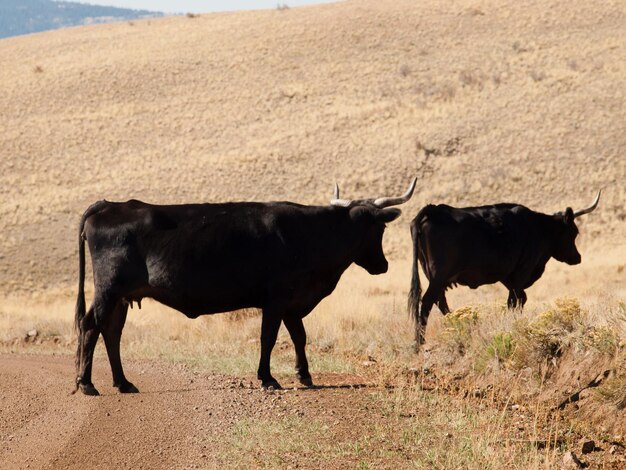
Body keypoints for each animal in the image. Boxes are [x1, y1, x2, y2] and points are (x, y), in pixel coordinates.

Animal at [72, 178, 414, 394]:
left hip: (121, 297)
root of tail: (110, 205)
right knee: (92, 327)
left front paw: (304, 375)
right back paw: (88, 384)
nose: (382, 265)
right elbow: (269, 339)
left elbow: (300, 337)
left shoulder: (292, 304)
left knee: (111, 332)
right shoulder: (276, 300)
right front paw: (268, 378)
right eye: (380, 228)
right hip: (109, 291)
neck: (311, 233)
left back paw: (123, 383)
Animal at [408, 192, 596, 346]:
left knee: (440, 302)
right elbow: (518, 299)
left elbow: (515, 299)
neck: (539, 228)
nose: (577, 258)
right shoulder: (521, 271)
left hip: (433, 276)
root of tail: (432, 210)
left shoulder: (508, 276)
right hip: (438, 276)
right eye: (573, 232)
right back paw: (420, 342)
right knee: (427, 302)